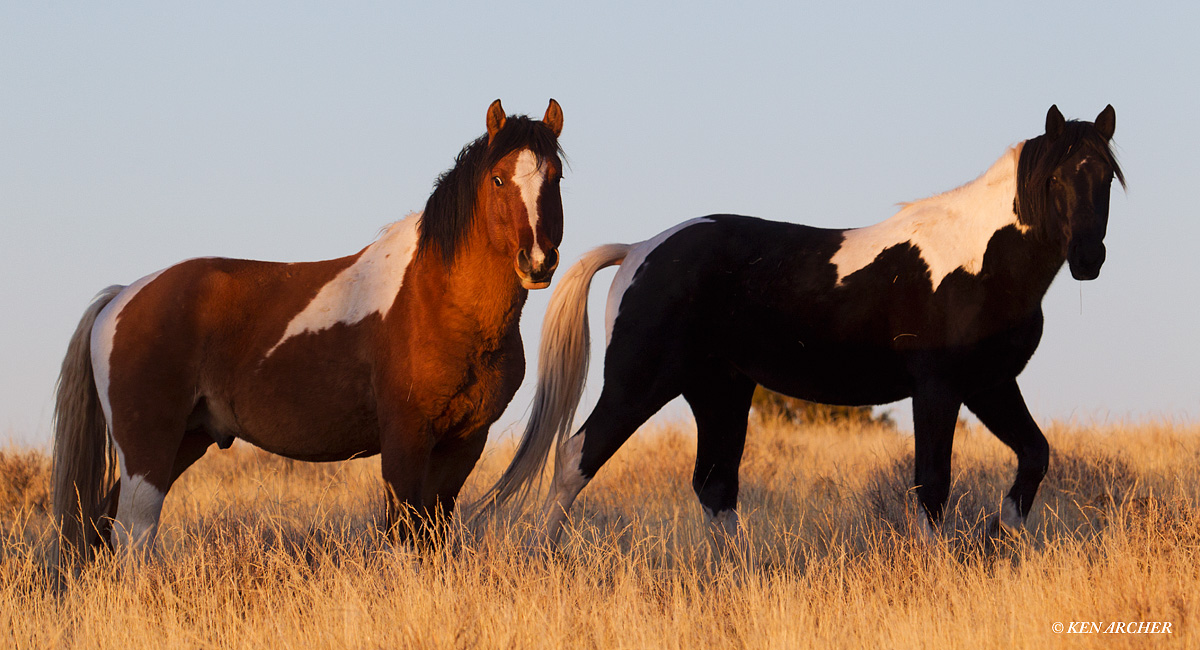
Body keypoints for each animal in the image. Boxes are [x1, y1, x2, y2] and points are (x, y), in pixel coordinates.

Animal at [52, 99, 566, 563]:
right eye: (497, 178)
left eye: (556, 177)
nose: (538, 261)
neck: (436, 299)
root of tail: (122, 297)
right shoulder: (405, 438)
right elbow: (402, 541)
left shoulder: (463, 442)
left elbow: (433, 536)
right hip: (148, 448)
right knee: (133, 536)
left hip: (184, 439)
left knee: (104, 526)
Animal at [477, 105, 1123, 551]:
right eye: (1057, 180)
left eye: (1108, 178)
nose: (1089, 258)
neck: (974, 258)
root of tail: (639, 251)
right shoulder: (939, 388)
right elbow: (932, 485)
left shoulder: (989, 384)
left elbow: (1034, 453)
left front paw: (1001, 537)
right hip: (641, 382)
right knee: (577, 455)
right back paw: (542, 556)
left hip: (719, 391)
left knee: (714, 486)